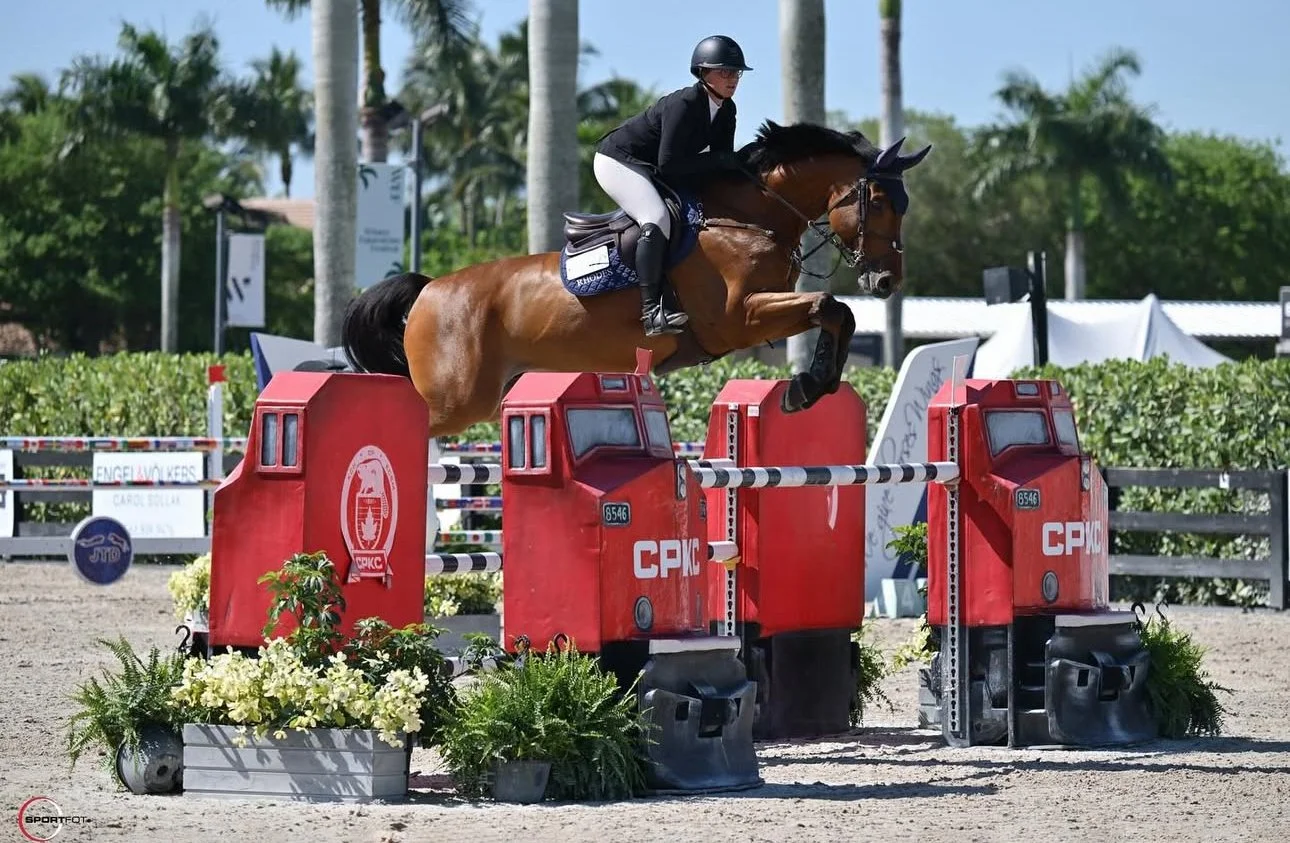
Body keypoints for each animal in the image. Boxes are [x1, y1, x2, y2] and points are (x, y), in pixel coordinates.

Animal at [342, 119, 931, 437]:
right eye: (880, 201)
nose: (887, 282)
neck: (749, 217)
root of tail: (430, 289)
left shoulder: (761, 315)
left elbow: (837, 312)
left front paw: (811, 387)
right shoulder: (739, 320)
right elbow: (830, 304)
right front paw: (805, 388)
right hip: (456, 401)